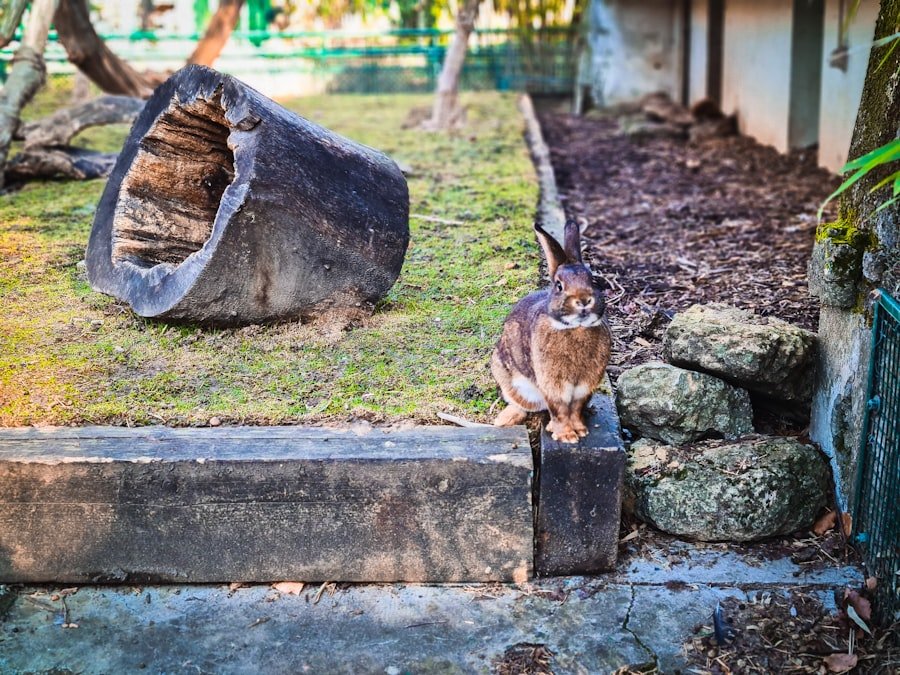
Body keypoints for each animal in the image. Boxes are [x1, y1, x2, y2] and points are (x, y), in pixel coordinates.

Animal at [491, 219, 611, 443]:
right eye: (559, 286)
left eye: (592, 281)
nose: (583, 300)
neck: (575, 328)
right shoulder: (553, 385)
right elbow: (560, 410)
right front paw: (567, 436)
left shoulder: (584, 387)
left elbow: (575, 409)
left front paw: (580, 430)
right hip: (508, 377)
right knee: (522, 405)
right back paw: (505, 420)